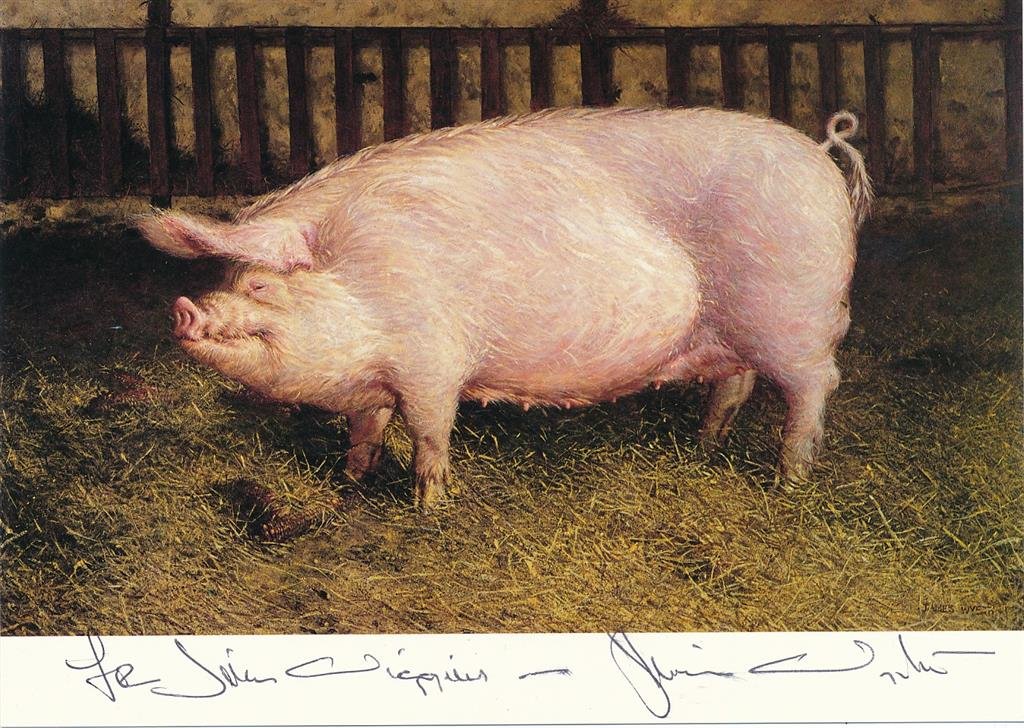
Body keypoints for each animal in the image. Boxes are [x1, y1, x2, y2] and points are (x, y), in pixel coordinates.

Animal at [138, 106, 872, 509]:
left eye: (262, 289)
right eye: (229, 277)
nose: (184, 308)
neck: (364, 278)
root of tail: (820, 153)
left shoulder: (432, 362)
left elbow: (430, 434)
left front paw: (429, 507)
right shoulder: (376, 384)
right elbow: (365, 430)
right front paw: (351, 481)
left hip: (796, 319)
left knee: (815, 388)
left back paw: (788, 482)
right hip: (731, 332)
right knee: (735, 385)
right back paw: (701, 448)